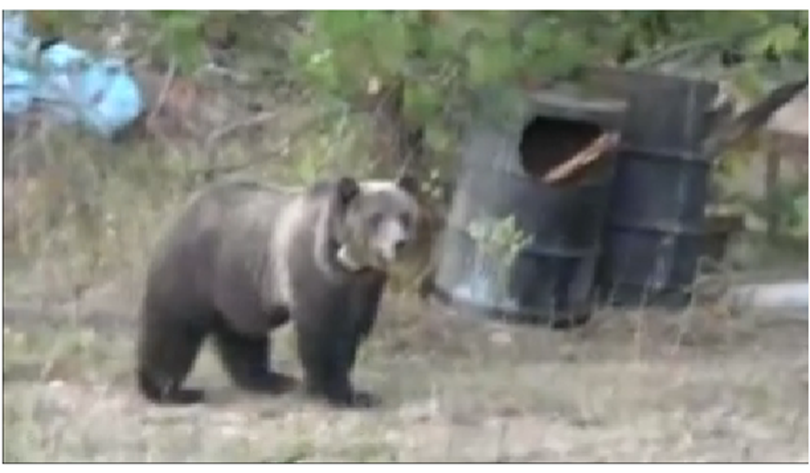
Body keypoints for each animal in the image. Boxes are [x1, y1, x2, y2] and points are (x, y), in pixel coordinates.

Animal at [136, 173, 420, 406]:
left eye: (405, 215)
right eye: (376, 217)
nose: (399, 243)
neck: (349, 264)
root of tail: (183, 210)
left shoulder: (365, 288)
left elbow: (352, 331)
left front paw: (353, 390)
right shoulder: (314, 272)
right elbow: (323, 333)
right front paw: (339, 393)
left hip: (238, 286)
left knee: (243, 336)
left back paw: (271, 379)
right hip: (194, 270)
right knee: (174, 329)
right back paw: (168, 390)